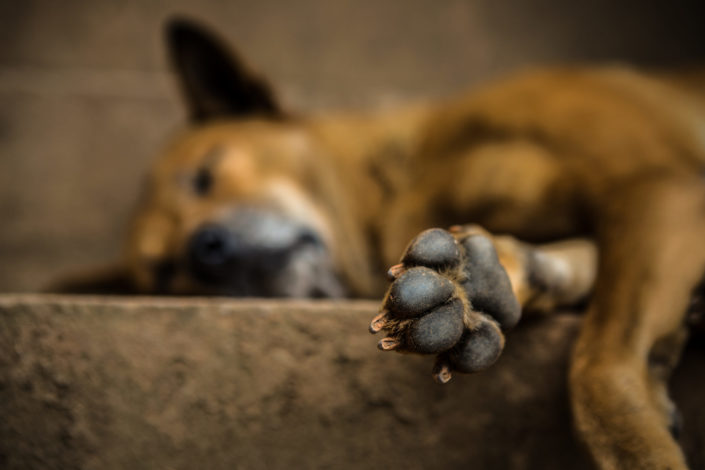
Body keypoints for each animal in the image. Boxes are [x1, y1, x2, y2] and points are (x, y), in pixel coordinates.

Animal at [118, 17, 704, 470]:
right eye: (166, 271)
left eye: (203, 177)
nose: (203, 251)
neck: (408, 175)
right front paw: (471, 288)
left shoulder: (655, 185)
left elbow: (601, 368)